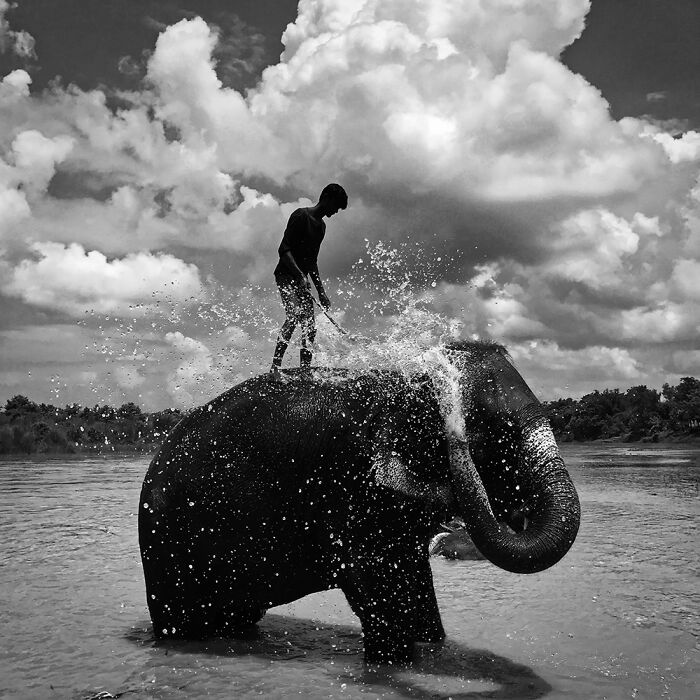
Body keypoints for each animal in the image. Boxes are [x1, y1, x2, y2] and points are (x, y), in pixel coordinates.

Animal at [138, 340, 580, 663]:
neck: (399, 381)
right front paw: (394, 663)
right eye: (493, 435)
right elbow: (374, 583)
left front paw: (434, 647)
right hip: (170, 551)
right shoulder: (351, 482)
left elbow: (413, 581)